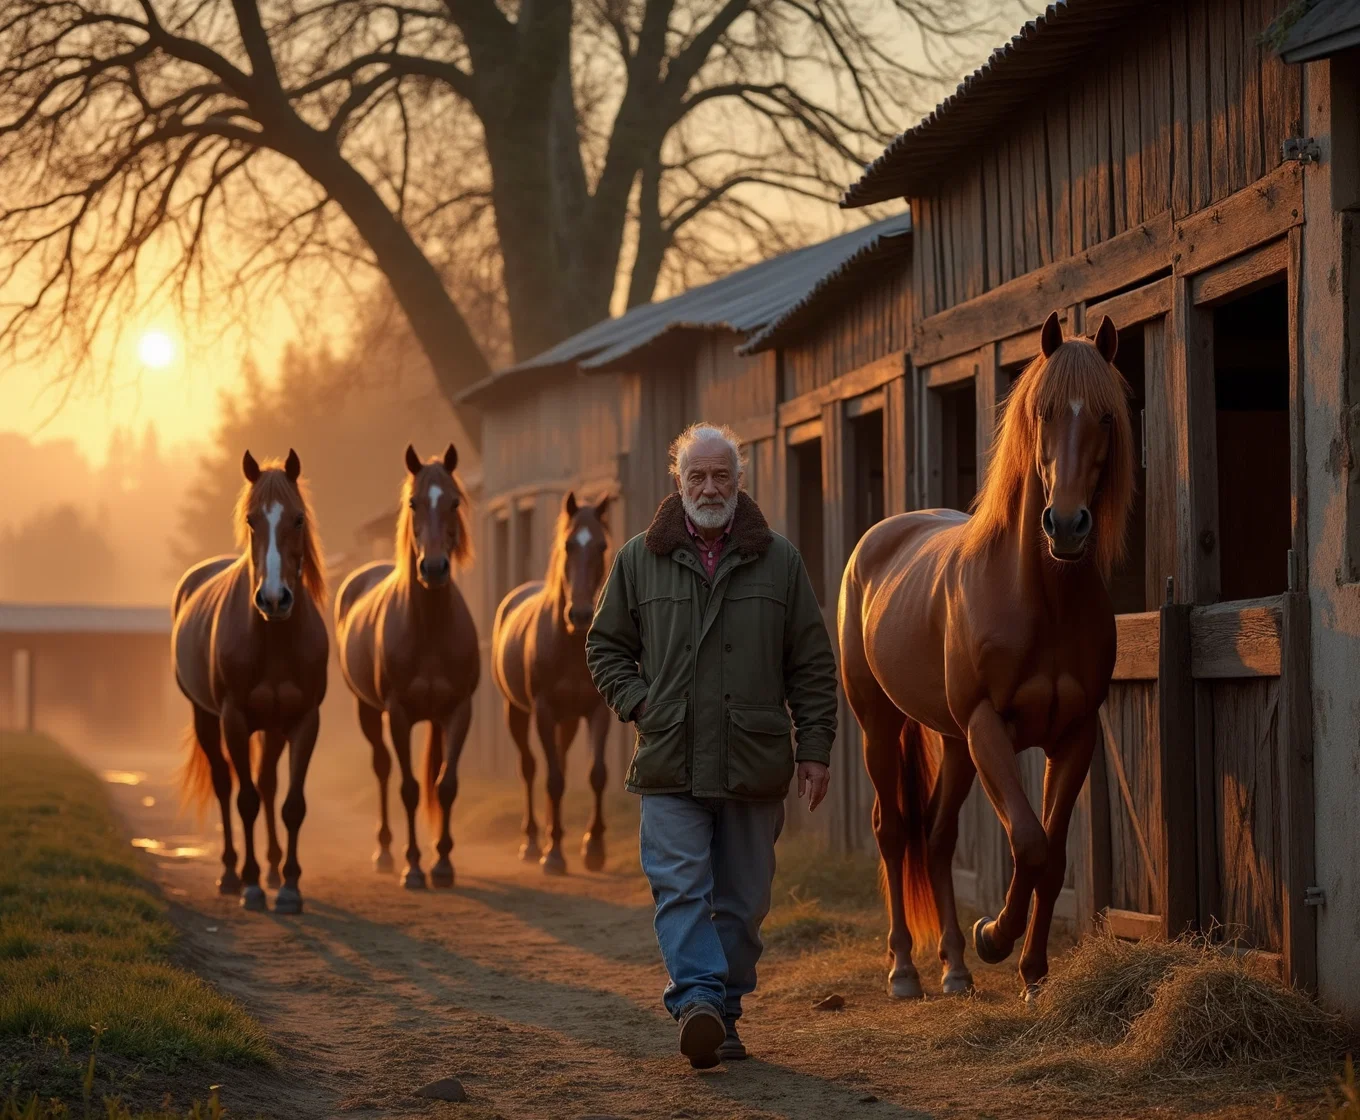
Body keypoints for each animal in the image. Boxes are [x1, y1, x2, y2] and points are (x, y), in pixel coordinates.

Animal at [172, 445, 329, 907]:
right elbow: (245, 800)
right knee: (226, 785)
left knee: (268, 784)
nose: (274, 599)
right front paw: (252, 884)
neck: (273, 637)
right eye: (251, 519)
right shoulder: (234, 720)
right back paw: (230, 874)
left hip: (273, 728)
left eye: (298, 518)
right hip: (206, 719)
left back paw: (274, 868)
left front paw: (290, 886)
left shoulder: (304, 721)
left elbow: (291, 803)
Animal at [334, 443, 478, 886]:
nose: (433, 568)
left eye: (454, 501)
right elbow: (410, 788)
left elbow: (446, 784)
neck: (429, 627)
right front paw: (413, 866)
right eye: (413, 502)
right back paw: (384, 852)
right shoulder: (397, 713)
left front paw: (443, 864)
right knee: (382, 769)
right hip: (367, 710)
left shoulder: (458, 711)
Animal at [495, 492, 612, 875]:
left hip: (569, 720)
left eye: (601, 545)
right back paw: (533, 842)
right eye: (568, 544)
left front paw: (594, 848)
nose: (581, 614)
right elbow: (554, 779)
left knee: (556, 759)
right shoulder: (544, 711)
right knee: (531, 768)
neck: (570, 644)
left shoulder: (597, 712)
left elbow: (596, 774)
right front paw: (555, 854)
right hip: (516, 713)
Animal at [837, 312, 1136, 994]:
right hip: (882, 725)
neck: (1038, 598)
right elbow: (1027, 841)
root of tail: (877, 542)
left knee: (937, 837)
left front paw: (1031, 970)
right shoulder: (988, 726)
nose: (1067, 525)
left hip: (953, 743)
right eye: (1044, 412)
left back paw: (954, 966)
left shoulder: (1074, 735)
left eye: (1106, 416)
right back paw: (904, 969)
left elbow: (1052, 855)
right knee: (893, 832)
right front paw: (996, 937)